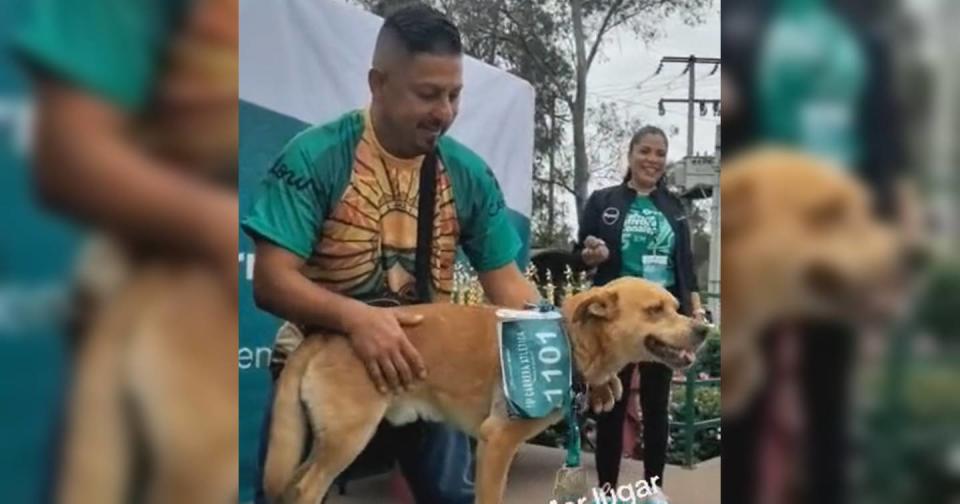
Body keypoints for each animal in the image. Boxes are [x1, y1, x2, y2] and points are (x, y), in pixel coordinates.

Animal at [260, 278, 704, 502]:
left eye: (675, 305)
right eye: (655, 311)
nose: (703, 328)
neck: (566, 339)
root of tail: (325, 335)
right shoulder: (497, 443)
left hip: (324, 442)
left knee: (292, 487)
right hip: (347, 440)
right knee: (306, 489)